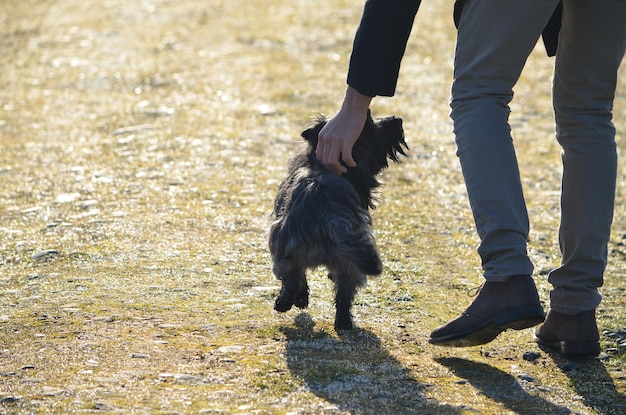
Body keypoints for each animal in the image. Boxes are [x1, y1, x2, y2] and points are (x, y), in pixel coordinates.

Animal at [270, 111, 410, 332]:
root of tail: (328, 214)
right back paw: (343, 322)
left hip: (290, 253)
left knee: (294, 281)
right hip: (349, 264)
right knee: (343, 294)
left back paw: (286, 303)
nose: (397, 119)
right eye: (372, 120)